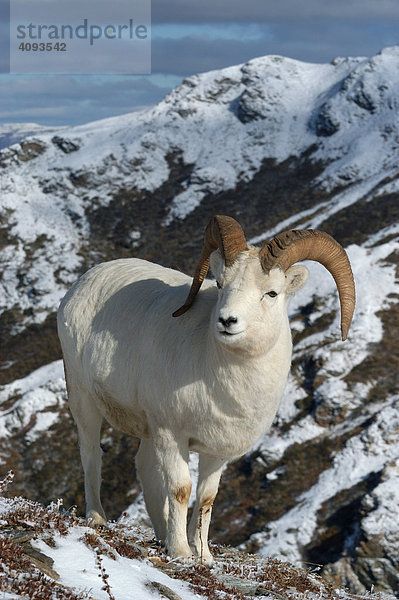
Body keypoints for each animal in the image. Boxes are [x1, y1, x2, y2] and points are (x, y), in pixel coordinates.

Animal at [57, 217, 356, 568]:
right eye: (222, 284)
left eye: (271, 292)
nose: (228, 321)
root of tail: (86, 280)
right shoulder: (173, 436)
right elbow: (181, 489)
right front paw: (181, 552)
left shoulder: (217, 453)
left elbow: (206, 499)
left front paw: (203, 555)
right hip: (84, 401)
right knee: (92, 455)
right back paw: (97, 518)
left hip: (148, 429)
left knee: (144, 467)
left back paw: (160, 533)